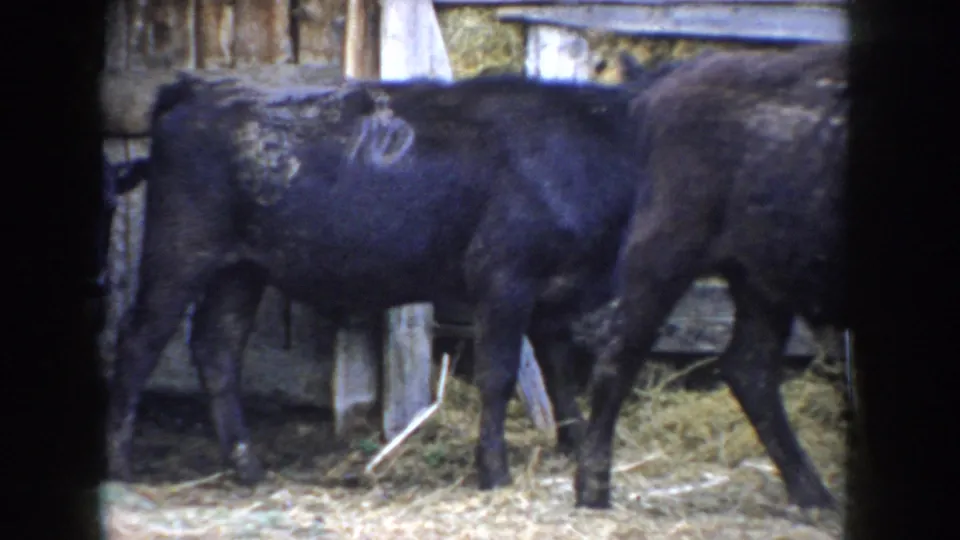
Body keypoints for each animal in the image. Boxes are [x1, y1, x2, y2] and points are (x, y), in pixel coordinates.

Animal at [105, 66, 674, 489]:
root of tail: (198, 87)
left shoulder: (551, 295)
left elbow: (560, 374)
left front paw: (574, 447)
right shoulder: (504, 277)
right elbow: (499, 376)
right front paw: (494, 471)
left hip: (240, 269)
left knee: (216, 347)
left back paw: (248, 466)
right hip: (180, 248)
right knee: (138, 340)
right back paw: (122, 466)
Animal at [572, 43, 849, 510]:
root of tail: (668, 83)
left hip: (761, 284)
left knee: (749, 368)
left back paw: (813, 495)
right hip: (666, 254)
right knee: (618, 352)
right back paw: (593, 490)